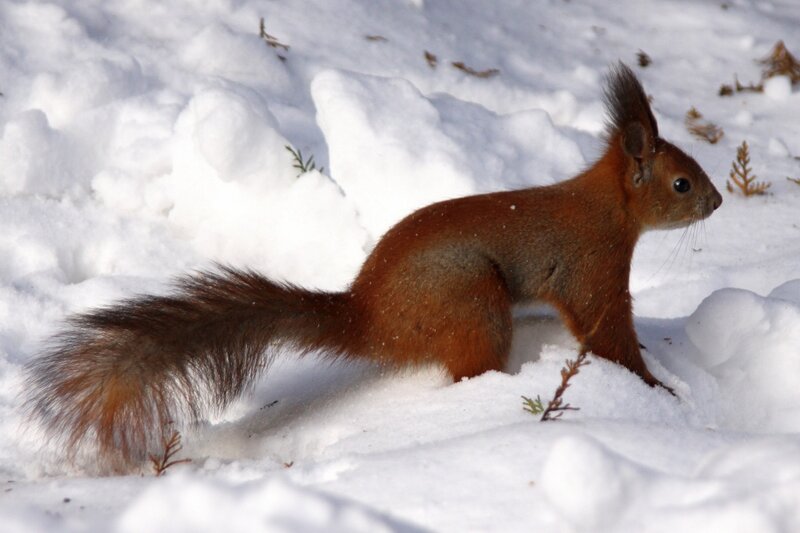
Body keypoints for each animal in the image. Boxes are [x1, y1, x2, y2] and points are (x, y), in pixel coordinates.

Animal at [25, 63, 721, 467]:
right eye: (682, 183)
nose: (717, 202)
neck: (608, 207)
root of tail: (368, 316)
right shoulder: (591, 266)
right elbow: (605, 330)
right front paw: (655, 387)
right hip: (471, 299)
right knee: (464, 371)